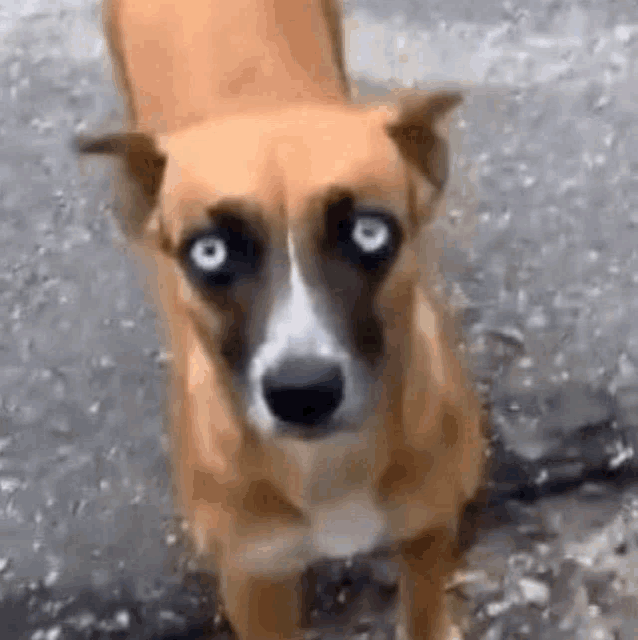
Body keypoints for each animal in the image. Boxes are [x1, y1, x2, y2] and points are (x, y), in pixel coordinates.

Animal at [76, 2, 484, 636]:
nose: (303, 391)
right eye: (209, 251)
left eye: (369, 232)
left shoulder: (429, 530)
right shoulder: (255, 580)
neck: (328, 466)